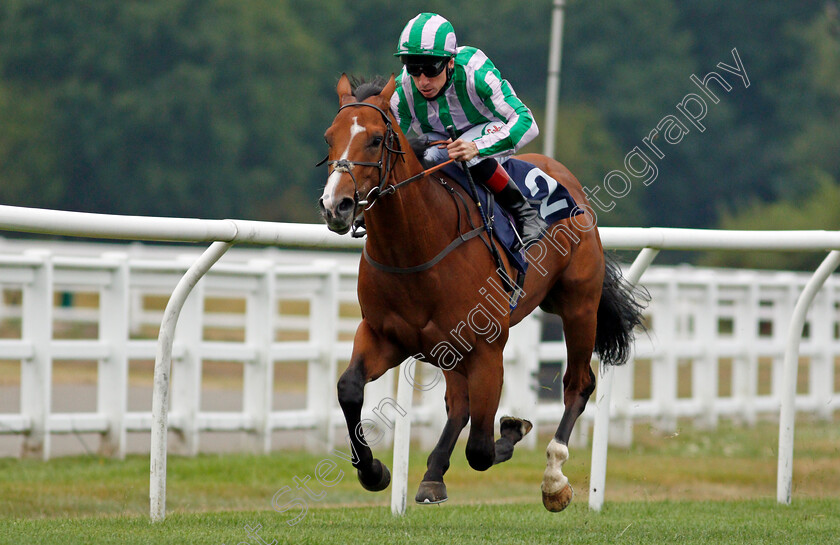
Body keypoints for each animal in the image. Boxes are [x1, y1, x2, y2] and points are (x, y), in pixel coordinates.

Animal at [316, 73, 644, 510]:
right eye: (329, 137)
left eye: (375, 139)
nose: (336, 205)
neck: (418, 246)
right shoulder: (384, 335)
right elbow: (350, 389)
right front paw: (373, 471)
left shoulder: (488, 349)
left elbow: (482, 450)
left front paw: (515, 430)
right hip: (449, 349)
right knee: (459, 406)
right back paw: (433, 474)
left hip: (579, 305)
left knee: (578, 384)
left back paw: (554, 476)